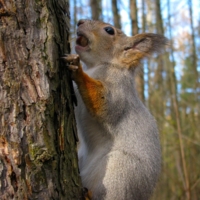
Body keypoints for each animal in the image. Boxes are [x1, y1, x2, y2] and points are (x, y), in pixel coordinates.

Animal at [62, 19, 167, 200]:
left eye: (109, 30)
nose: (80, 21)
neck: (101, 65)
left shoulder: (118, 91)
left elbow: (103, 104)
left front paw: (78, 70)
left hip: (121, 173)